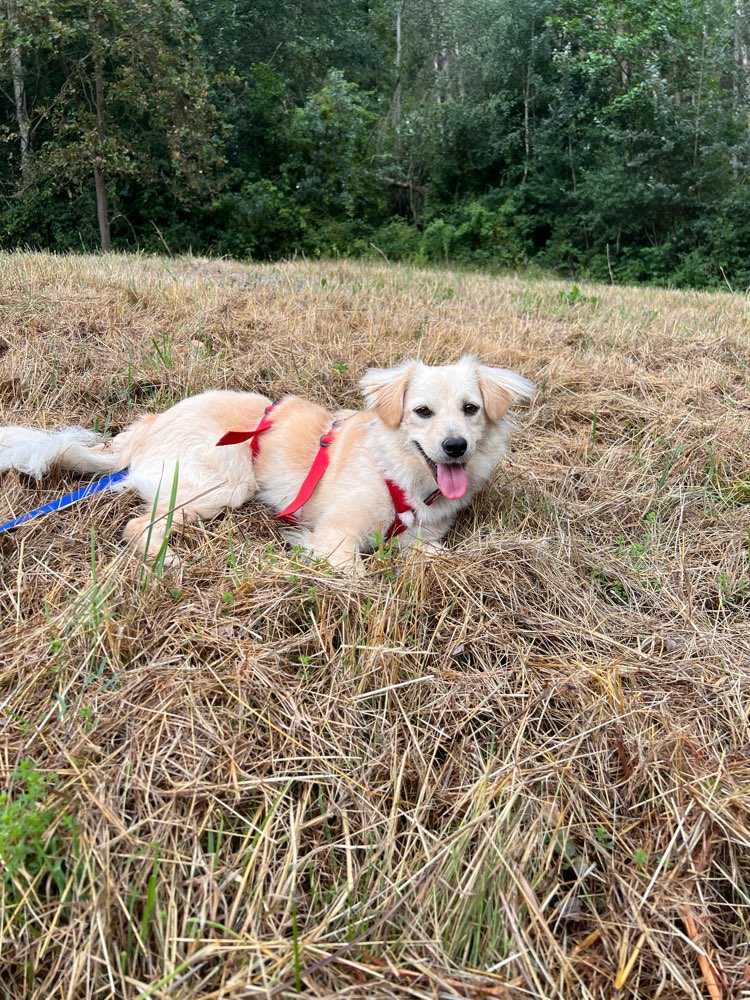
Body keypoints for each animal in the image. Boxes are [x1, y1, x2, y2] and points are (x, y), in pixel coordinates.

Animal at [2, 358, 536, 572]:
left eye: (470, 409)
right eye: (422, 412)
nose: (455, 446)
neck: (402, 473)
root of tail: (151, 426)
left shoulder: (420, 540)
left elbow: (440, 557)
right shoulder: (337, 536)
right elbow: (357, 574)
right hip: (223, 484)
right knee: (136, 524)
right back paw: (166, 559)